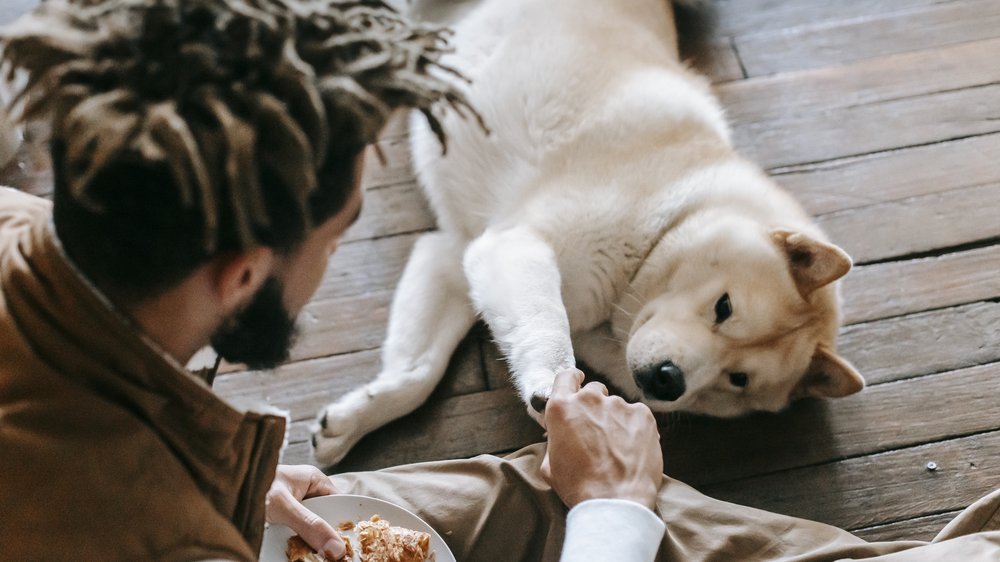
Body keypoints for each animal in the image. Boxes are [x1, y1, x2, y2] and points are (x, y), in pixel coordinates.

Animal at [310, 0, 860, 464]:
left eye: (737, 379)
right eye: (724, 308)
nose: (669, 381)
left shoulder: (456, 254)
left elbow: (418, 371)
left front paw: (353, 419)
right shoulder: (514, 246)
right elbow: (546, 327)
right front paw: (551, 385)